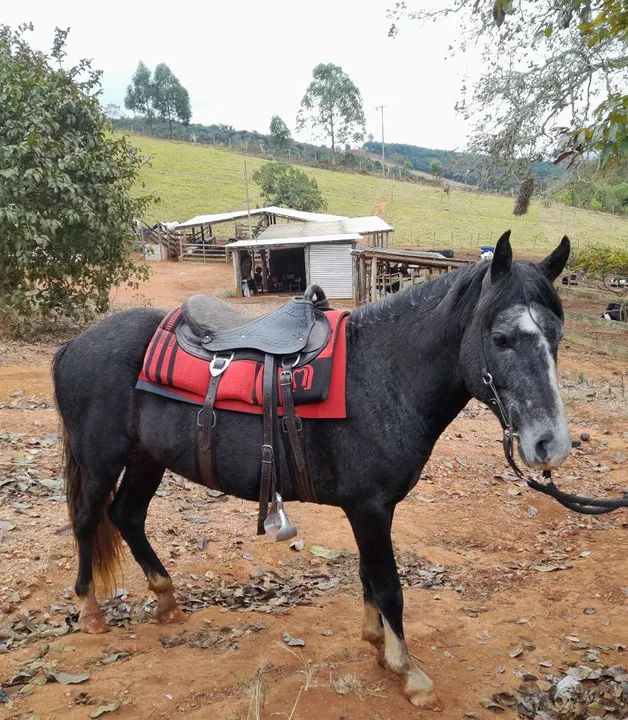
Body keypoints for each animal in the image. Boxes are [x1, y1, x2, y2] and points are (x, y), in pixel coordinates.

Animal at [52, 230, 571, 708]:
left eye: (557, 336)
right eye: (500, 338)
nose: (551, 444)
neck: (381, 374)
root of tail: (73, 345)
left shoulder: (369, 510)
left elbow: (368, 576)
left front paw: (378, 645)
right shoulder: (369, 508)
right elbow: (389, 586)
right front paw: (408, 672)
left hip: (147, 460)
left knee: (127, 516)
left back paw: (165, 599)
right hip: (100, 462)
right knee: (87, 520)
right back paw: (90, 611)